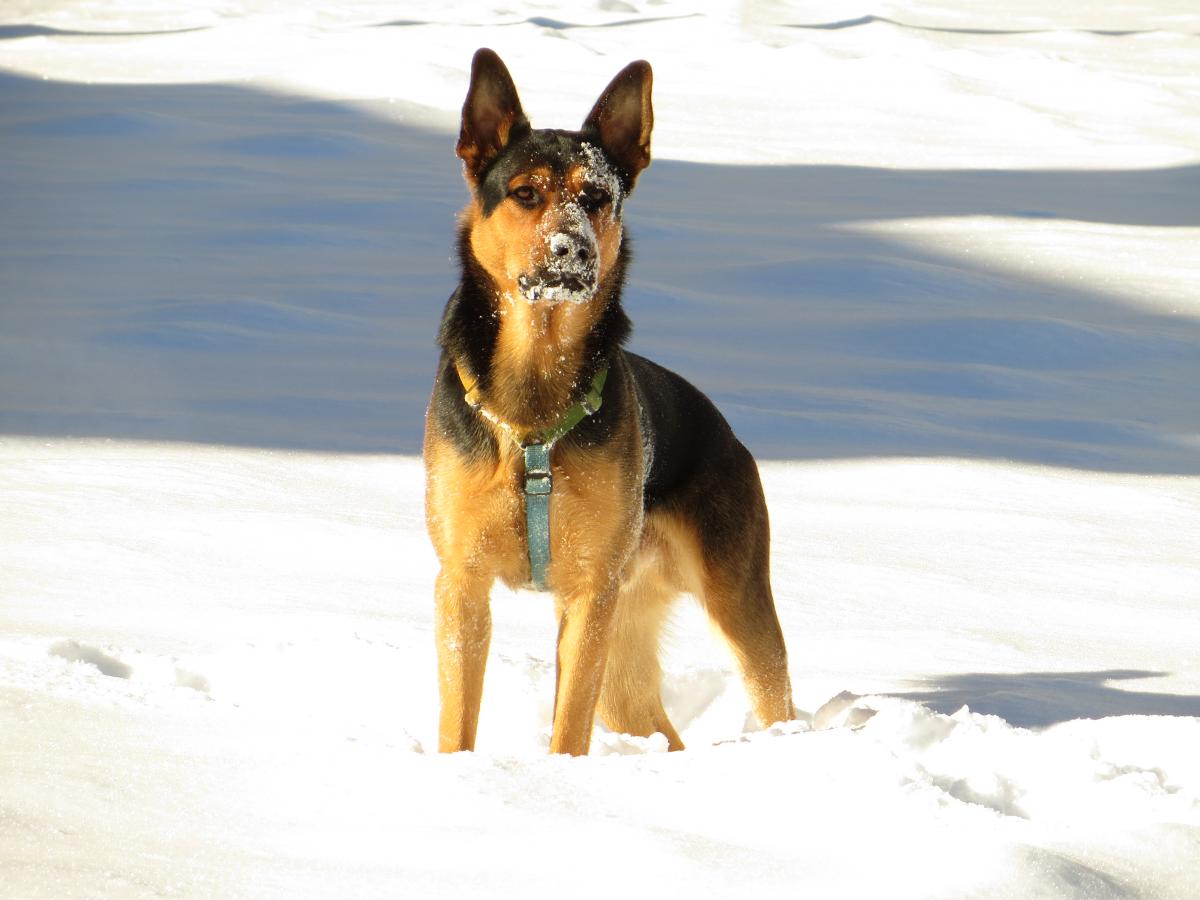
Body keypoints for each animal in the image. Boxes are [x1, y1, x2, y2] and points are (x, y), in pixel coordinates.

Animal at [427, 47, 792, 753]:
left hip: (735, 599)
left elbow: (569, 721)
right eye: (525, 193)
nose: (572, 249)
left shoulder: (590, 593)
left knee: (773, 691)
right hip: (628, 642)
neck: (535, 384)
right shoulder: (461, 581)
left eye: (597, 197)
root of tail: (725, 430)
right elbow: (459, 717)